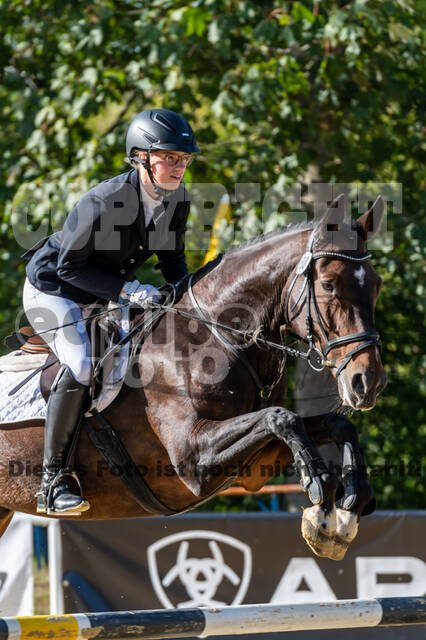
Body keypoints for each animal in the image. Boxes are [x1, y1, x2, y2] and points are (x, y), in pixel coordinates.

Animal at [0, 194, 386, 560]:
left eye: (377, 285)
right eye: (329, 285)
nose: (368, 382)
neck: (219, 336)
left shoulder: (256, 465)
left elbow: (333, 423)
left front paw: (347, 508)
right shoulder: (193, 460)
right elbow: (283, 418)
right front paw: (321, 489)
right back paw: (60, 493)